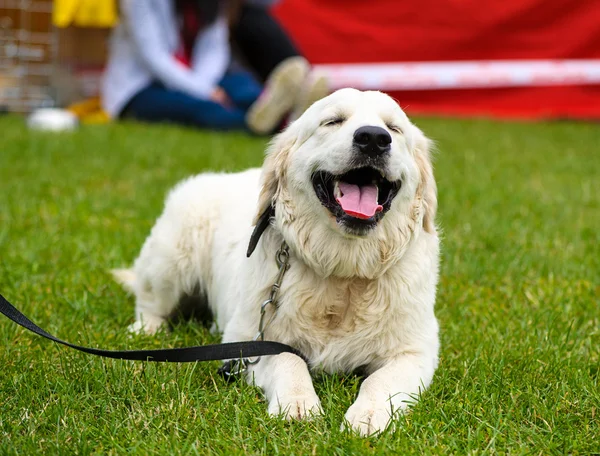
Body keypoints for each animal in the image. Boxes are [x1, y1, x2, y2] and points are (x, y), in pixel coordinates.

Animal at [112, 88, 440, 434]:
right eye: (333, 121)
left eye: (393, 128)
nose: (374, 139)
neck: (343, 271)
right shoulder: (250, 339)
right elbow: (289, 360)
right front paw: (298, 404)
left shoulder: (416, 350)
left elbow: (380, 380)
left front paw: (368, 415)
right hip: (170, 261)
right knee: (150, 306)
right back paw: (144, 332)